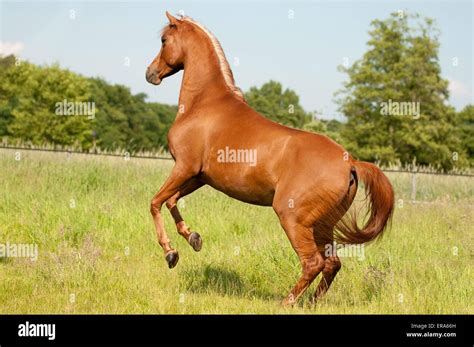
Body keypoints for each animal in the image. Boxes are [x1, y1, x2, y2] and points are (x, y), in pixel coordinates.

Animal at [145, 11, 396, 304]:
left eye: (164, 40)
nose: (150, 74)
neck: (204, 103)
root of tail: (351, 164)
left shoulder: (184, 168)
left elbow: (155, 202)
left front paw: (170, 253)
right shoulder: (199, 177)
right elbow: (171, 201)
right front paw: (193, 238)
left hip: (293, 218)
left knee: (314, 263)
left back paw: (288, 302)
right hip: (323, 223)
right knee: (332, 263)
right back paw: (312, 303)